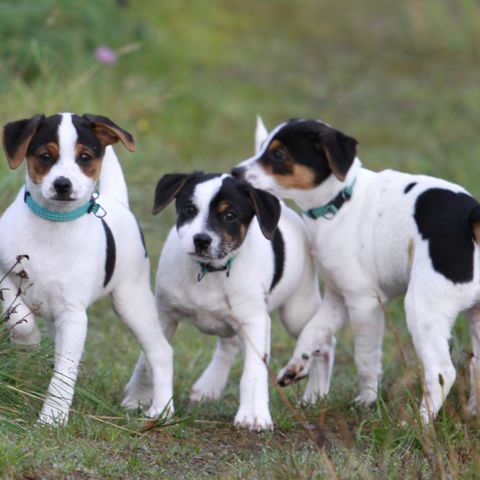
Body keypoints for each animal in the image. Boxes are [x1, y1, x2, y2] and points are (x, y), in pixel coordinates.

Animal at [0, 113, 172, 428]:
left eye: (85, 157)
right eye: (45, 156)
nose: (63, 184)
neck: (53, 223)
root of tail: (118, 202)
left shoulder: (74, 315)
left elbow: (65, 373)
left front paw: (53, 418)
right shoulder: (5, 275)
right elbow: (19, 315)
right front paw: (27, 341)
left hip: (132, 301)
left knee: (161, 351)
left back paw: (162, 410)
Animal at [122, 172, 330, 432]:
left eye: (230, 215)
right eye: (189, 209)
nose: (201, 240)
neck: (210, 271)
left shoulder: (255, 322)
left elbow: (253, 372)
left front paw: (255, 416)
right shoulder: (164, 314)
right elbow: (148, 358)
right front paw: (138, 397)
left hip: (297, 310)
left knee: (322, 342)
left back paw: (315, 395)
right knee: (228, 345)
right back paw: (210, 384)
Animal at [233, 118, 480, 422]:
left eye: (278, 155)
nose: (235, 172)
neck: (340, 202)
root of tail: (471, 218)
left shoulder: (363, 302)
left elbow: (365, 359)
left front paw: (366, 400)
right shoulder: (338, 296)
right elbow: (314, 330)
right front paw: (296, 366)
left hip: (423, 308)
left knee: (442, 371)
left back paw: (417, 422)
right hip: (475, 315)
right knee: (475, 365)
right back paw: (472, 412)